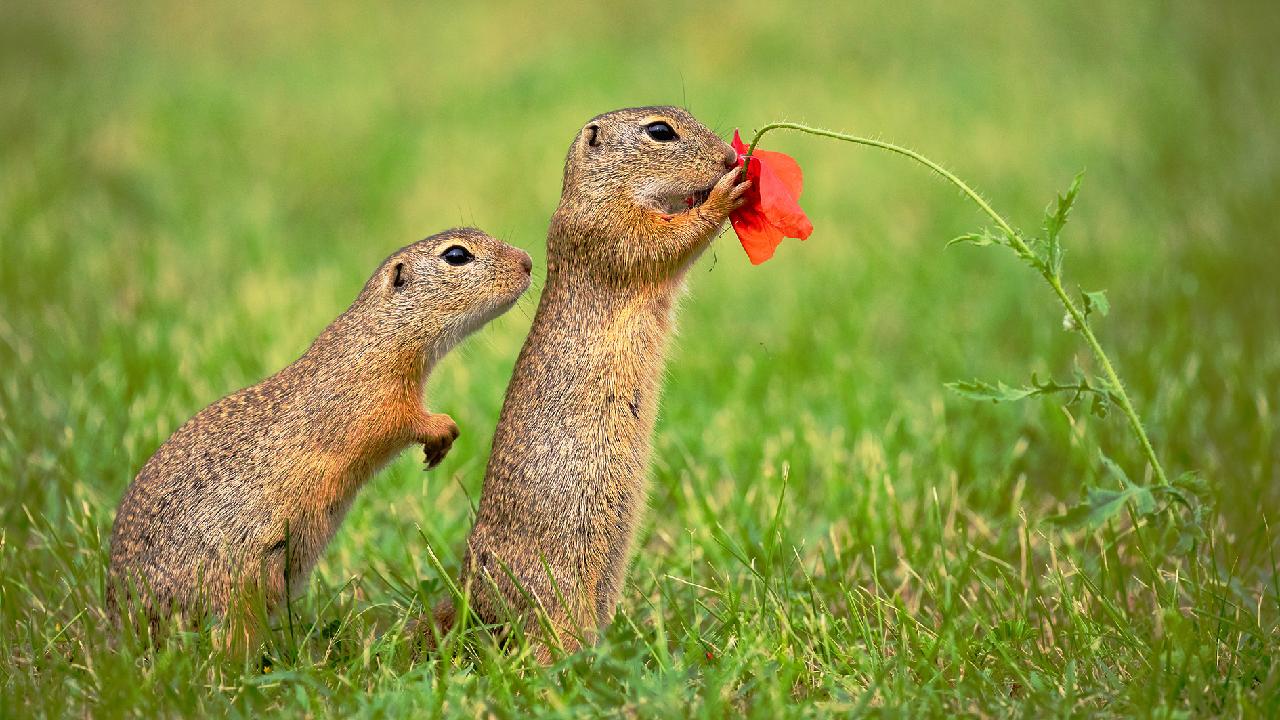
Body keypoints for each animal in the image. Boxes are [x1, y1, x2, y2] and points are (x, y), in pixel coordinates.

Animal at [108, 227, 532, 647]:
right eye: (457, 255)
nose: (527, 261)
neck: (377, 334)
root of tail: (120, 630)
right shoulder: (373, 401)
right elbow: (400, 421)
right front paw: (443, 428)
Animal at [430, 107, 748, 661]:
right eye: (660, 131)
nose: (730, 155)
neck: (601, 190)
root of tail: (470, 601)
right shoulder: (609, 231)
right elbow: (667, 241)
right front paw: (727, 192)